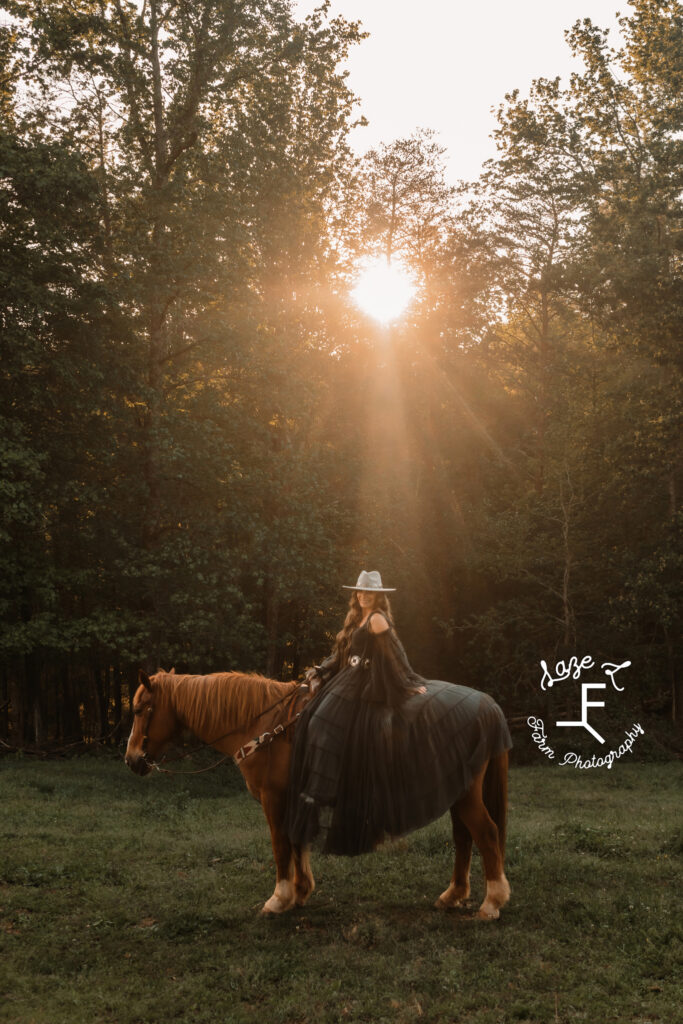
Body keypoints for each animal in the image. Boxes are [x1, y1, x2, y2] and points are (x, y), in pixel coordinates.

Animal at [125, 667, 509, 917]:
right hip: (457, 791)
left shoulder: (273, 799)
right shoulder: (295, 799)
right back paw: (453, 895)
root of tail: (487, 706)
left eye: (141, 709)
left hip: (466, 795)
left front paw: (279, 899)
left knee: (486, 834)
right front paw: (300, 892)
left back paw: (491, 903)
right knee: (464, 837)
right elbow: (297, 842)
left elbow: (281, 845)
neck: (266, 727)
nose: (132, 759)